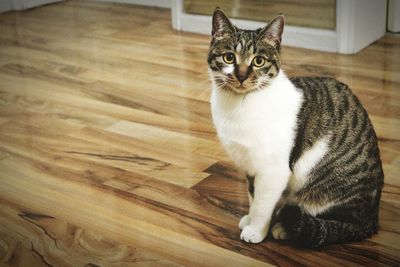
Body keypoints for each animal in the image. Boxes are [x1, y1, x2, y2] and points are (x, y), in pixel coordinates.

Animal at [208, 8, 382, 249]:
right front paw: (250, 219)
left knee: (336, 223)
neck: (241, 104)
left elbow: (262, 204)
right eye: (229, 57)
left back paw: (286, 228)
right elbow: (253, 196)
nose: (242, 76)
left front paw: (256, 230)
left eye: (259, 61)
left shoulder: (274, 170)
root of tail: (372, 218)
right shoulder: (251, 165)